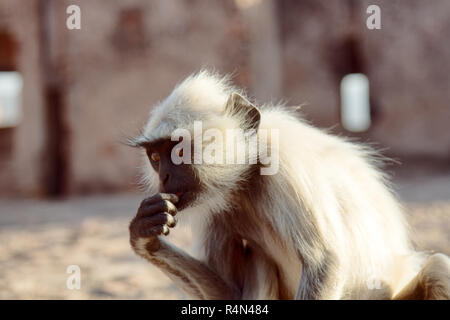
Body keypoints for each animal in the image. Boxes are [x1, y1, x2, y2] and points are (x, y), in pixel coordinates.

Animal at [128, 70, 450, 300]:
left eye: (179, 151)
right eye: (156, 158)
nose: (164, 177)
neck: (250, 177)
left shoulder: (284, 164)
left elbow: (324, 263)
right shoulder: (216, 205)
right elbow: (225, 293)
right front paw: (145, 234)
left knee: (438, 268)